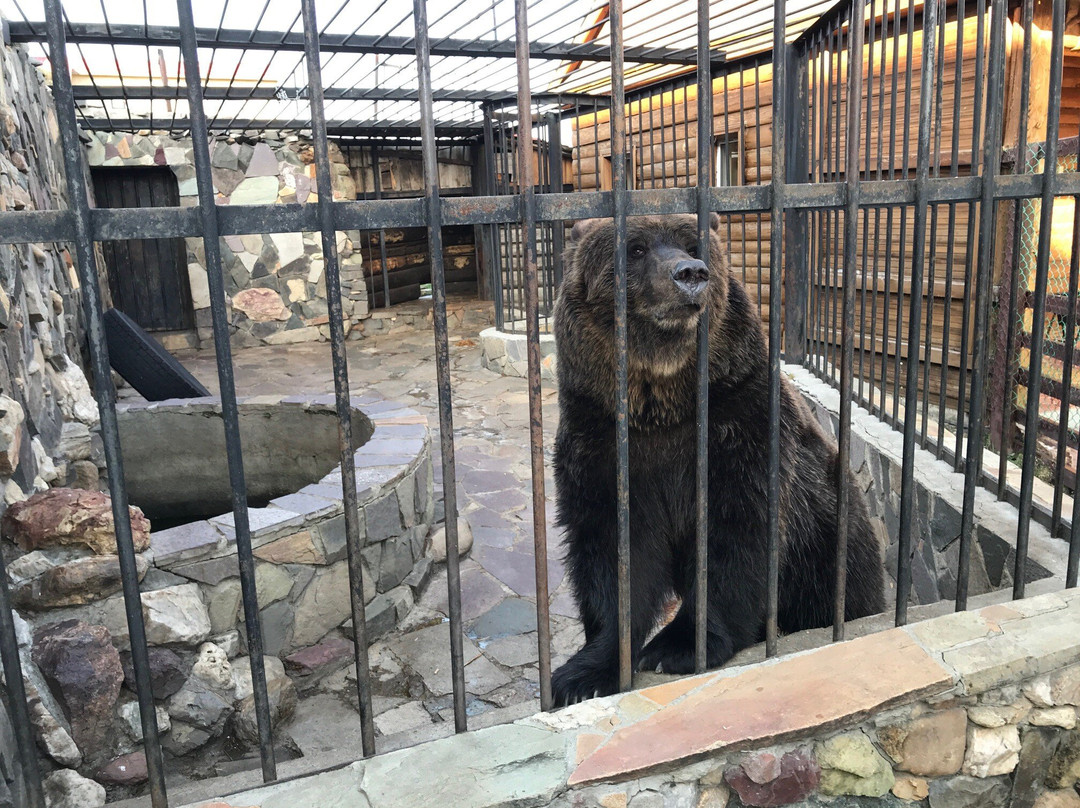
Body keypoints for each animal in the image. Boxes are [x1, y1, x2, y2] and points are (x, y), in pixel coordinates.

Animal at [550, 213, 885, 706]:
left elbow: (736, 531)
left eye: (694, 245)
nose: (690, 273)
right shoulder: (601, 441)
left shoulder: (740, 424)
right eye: (635, 248)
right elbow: (612, 550)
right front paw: (582, 674)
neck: (662, 403)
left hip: (829, 558)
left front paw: (678, 646)